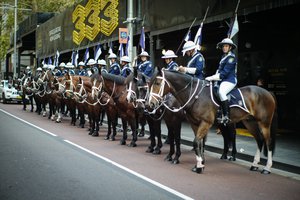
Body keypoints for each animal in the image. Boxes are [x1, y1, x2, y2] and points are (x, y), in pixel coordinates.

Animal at [148, 68, 276, 173]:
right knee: (259, 140)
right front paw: (199, 164)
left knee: (267, 141)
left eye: (157, 83)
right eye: (148, 85)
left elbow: (193, 142)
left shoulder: (203, 123)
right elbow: (198, 143)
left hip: (263, 123)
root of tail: (267, 92)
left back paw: (266, 168)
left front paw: (198, 165)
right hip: (249, 122)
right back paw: (254, 165)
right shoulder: (194, 123)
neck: (194, 94)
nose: (149, 105)